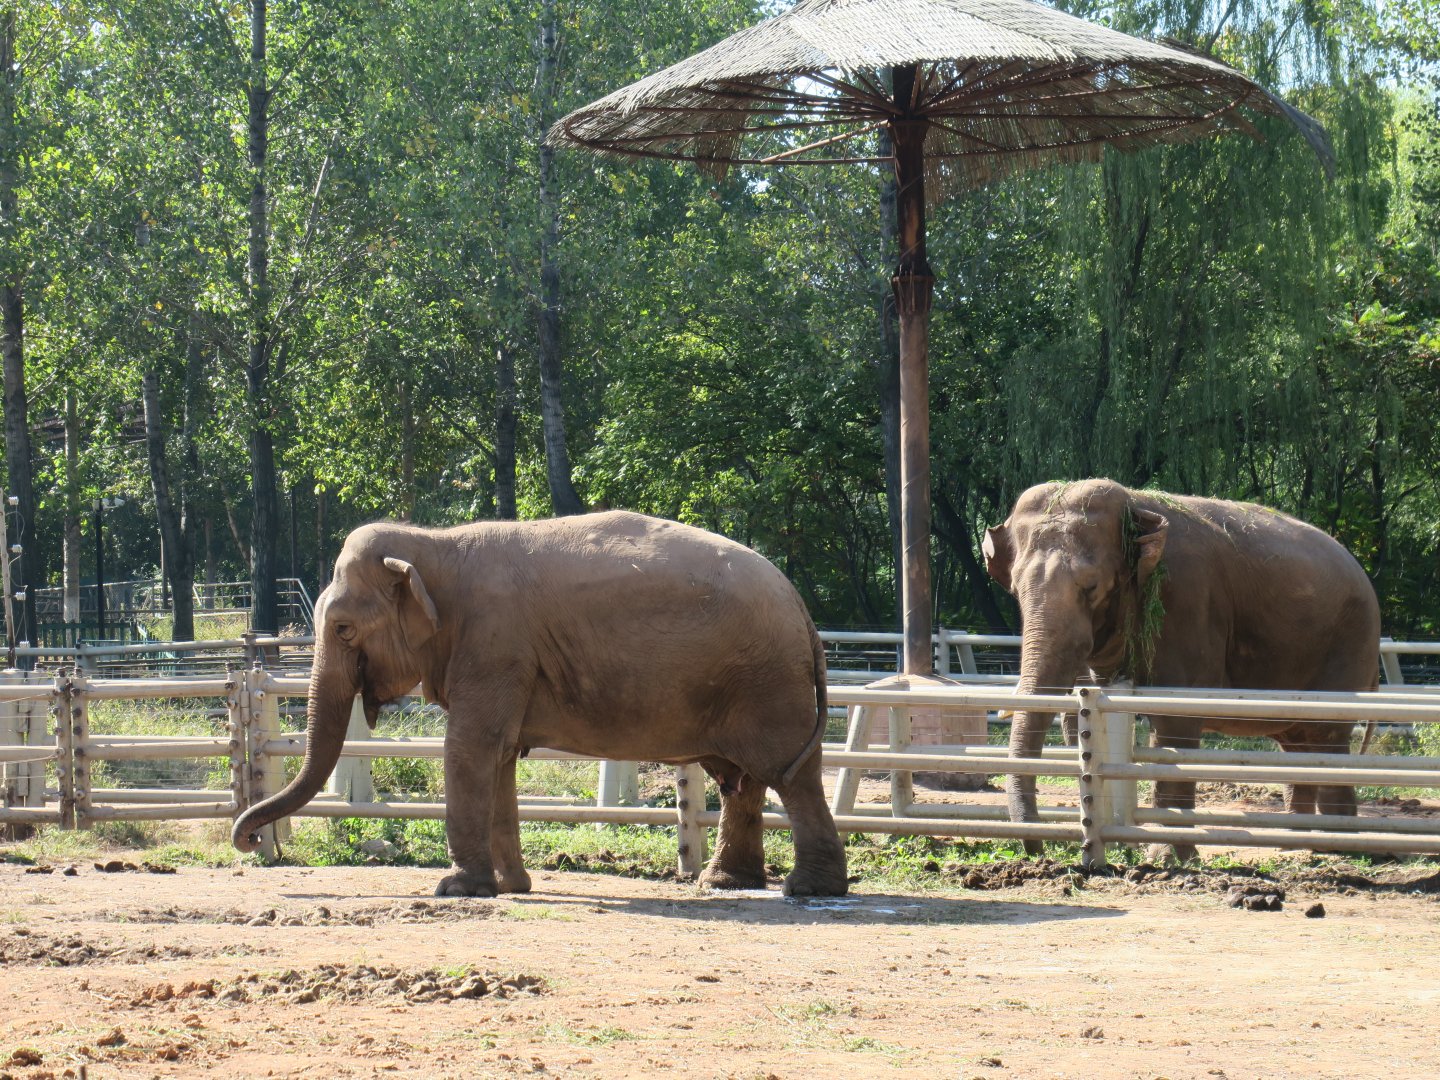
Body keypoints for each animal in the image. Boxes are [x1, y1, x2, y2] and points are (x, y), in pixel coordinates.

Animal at [232, 511, 848, 898]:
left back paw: (806, 890)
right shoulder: (501, 660)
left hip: (768, 683)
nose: (248, 841)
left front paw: (457, 890)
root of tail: (801, 607)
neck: (434, 544)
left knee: (789, 777)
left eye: (343, 628)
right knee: (744, 781)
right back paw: (725, 884)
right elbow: (500, 756)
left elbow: (470, 750)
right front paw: (511, 888)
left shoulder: (495, 644)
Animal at [982, 479, 1381, 861]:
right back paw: (1296, 844)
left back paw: (1339, 846)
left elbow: (1174, 717)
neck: (1135, 503)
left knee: (1327, 736)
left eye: (1091, 586)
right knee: (1298, 743)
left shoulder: (1188, 599)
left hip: (1351, 644)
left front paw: (1170, 858)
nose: (1039, 851)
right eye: (1015, 589)